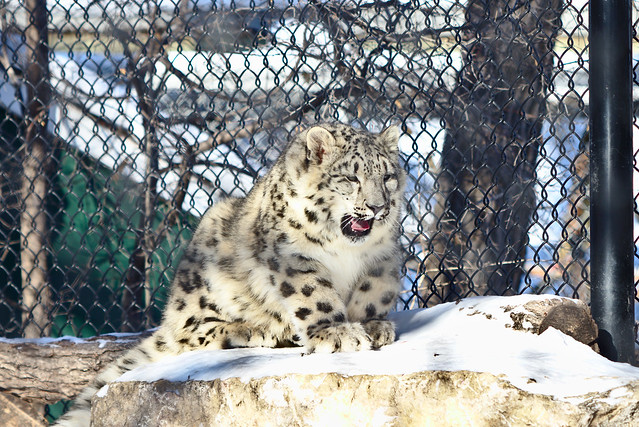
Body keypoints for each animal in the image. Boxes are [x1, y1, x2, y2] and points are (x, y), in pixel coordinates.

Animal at [56, 123, 404, 424]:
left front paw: (373, 326)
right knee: (187, 331)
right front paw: (337, 332)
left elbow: (373, 292)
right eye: (351, 178)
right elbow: (314, 293)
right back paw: (257, 329)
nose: (378, 207)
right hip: (201, 273)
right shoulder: (294, 256)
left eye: (388, 177)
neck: (347, 250)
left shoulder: (383, 257)